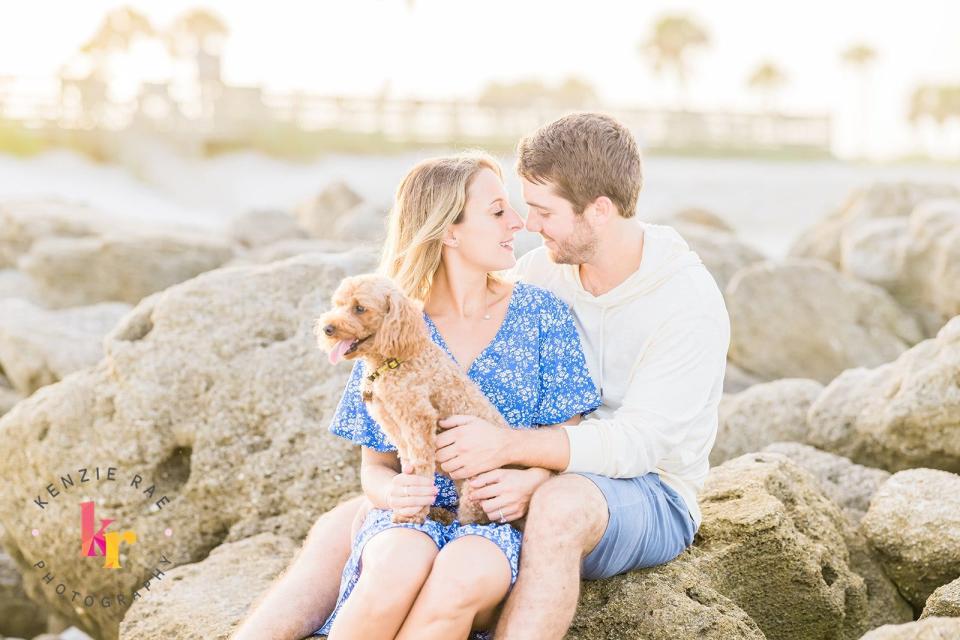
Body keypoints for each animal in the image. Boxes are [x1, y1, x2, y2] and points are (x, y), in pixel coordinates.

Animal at [314, 272, 510, 524]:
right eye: (337, 304)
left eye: (360, 308)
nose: (327, 328)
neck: (392, 362)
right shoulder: (392, 424)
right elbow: (409, 465)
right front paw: (410, 503)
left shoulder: (419, 420)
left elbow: (421, 467)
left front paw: (414, 516)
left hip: (475, 495)